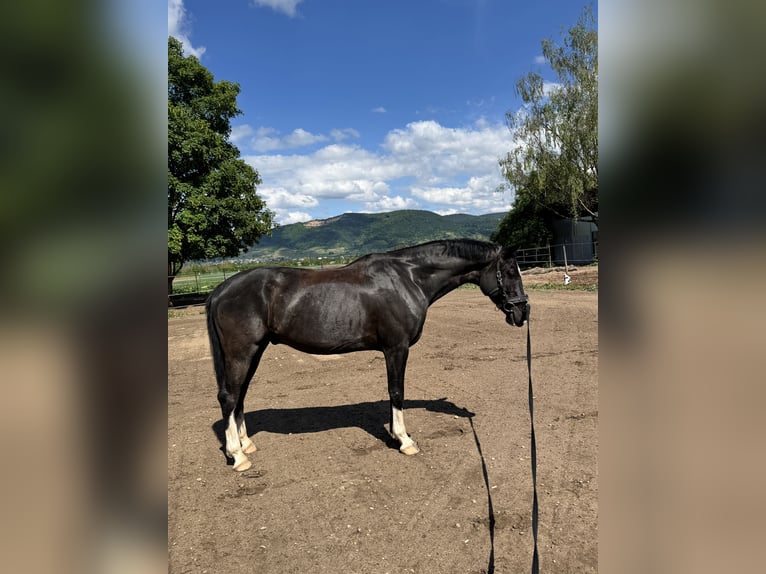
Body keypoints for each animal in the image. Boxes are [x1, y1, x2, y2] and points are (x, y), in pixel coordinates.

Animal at [205, 239, 529, 471]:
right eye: (509, 272)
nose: (522, 313)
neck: (409, 278)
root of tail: (220, 290)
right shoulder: (396, 347)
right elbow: (396, 391)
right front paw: (404, 440)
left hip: (255, 351)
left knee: (240, 395)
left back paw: (246, 444)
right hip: (241, 352)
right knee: (229, 397)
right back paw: (238, 456)